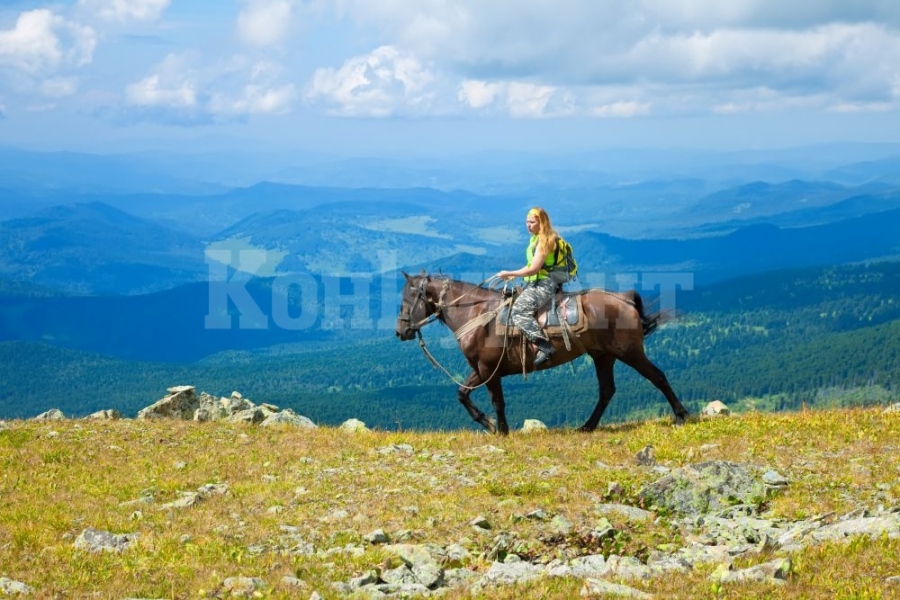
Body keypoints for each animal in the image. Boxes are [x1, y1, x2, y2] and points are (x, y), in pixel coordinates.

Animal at [394, 274, 688, 436]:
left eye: (408, 299)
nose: (401, 331)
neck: (476, 314)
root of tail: (624, 298)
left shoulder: (489, 369)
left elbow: (498, 402)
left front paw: (502, 430)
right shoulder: (479, 369)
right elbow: (462, 394)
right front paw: (488, 424)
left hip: (630, 352)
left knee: (658, 377)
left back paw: (681, 414)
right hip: (603, 356)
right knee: (607, 390)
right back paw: (587, 426)